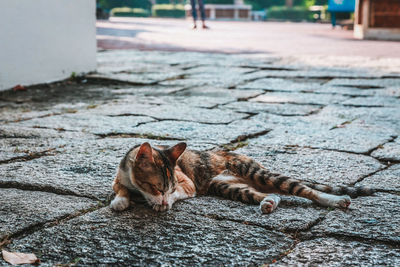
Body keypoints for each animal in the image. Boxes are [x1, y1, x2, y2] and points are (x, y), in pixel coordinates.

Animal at [110, 143, 376, 215]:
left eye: (168, 187)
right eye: (155, 187)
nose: (163, 202)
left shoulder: (188, 184)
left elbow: (180, 192)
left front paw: (161, 204)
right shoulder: (118, 179)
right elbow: (120, 189)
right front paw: (120, 201)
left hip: (254, 171)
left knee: (304, 190)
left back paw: (336, 200)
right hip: (226, 185)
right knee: (271, 194)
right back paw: (269, 202)